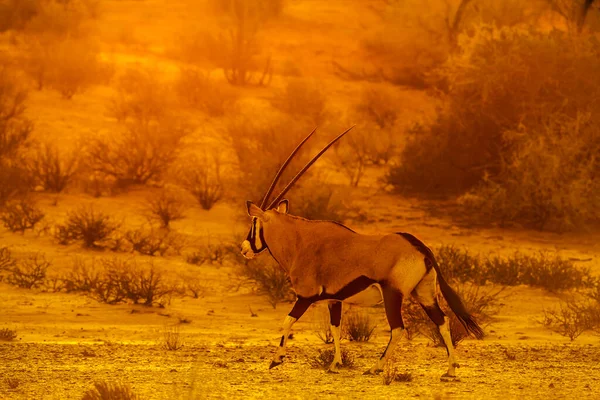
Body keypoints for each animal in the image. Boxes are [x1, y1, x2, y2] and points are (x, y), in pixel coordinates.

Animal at [239, 128, 482, 378]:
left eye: (254, 223)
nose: (244, 249)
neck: (300, 240)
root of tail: (421, 247)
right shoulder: (334, 299)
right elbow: (335, 328)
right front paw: (335, 364)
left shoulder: (305, 296)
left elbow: (287, 322)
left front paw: (276, 360)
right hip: (424, 293)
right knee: (442, 321)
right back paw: (450, 369)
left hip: (392, 294)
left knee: (398, 328)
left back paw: (376, 367)